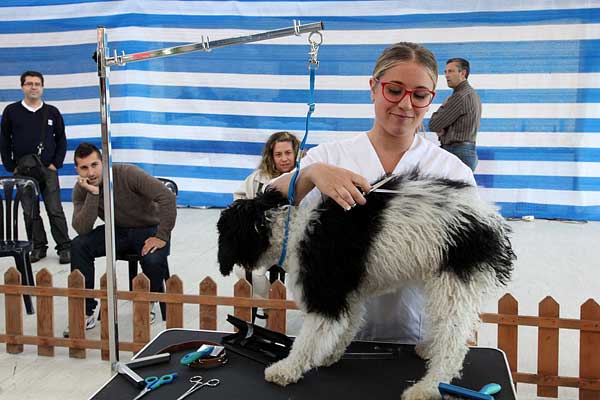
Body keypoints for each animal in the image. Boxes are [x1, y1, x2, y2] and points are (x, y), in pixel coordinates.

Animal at [217, 170, 516, 400]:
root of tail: (491, 220)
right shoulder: (348, 295)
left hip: (453, 281)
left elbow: (308, 339)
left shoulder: (326, 294)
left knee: (453, 343)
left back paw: (428, 387)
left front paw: (285, 369)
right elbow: (347, 326)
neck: (292, 231)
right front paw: (330, 354)